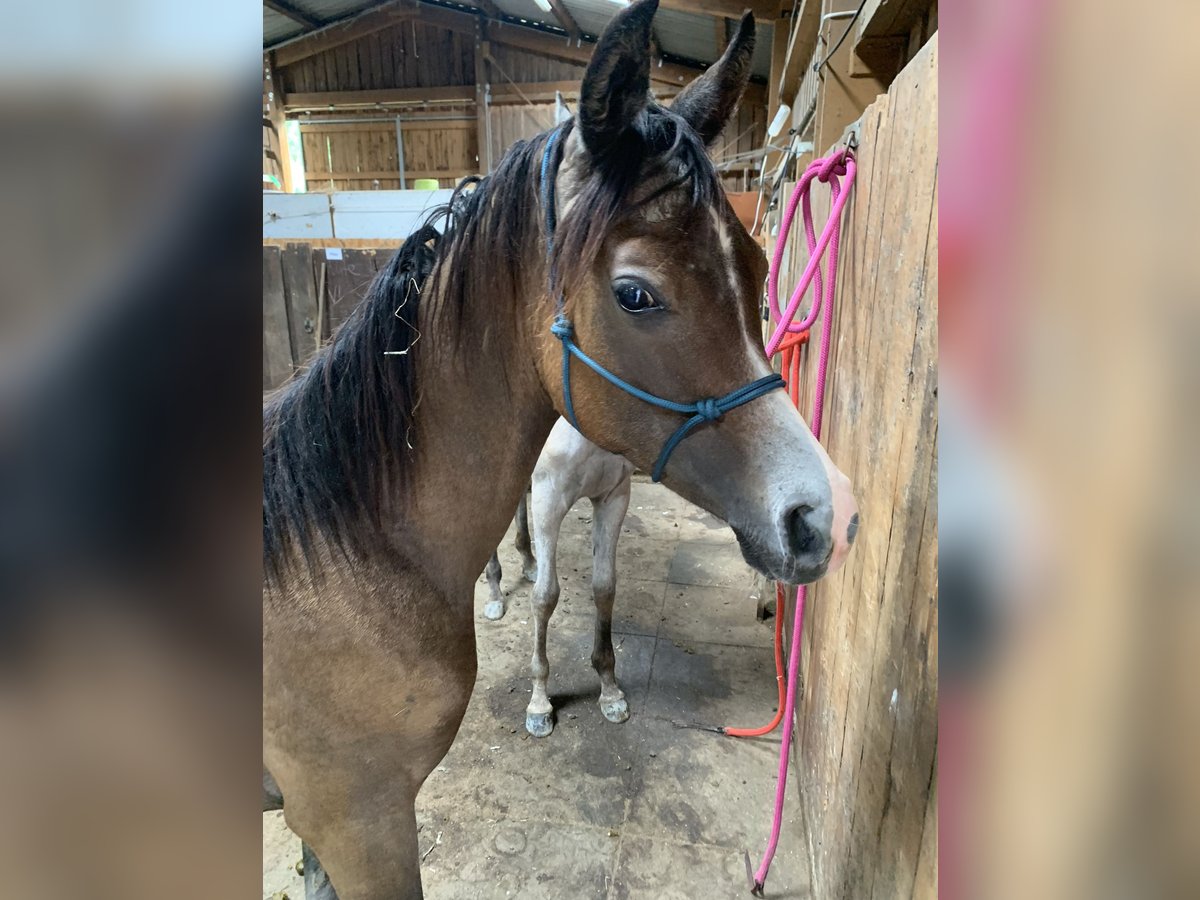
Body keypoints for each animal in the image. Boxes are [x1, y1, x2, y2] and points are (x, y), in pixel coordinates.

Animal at [267, 3, 859, 897]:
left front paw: (608, 686)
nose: (823, 515)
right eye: (636, 294)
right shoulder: (359, 821)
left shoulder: (612, 494)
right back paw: (497, 587)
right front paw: (545, 696)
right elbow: (550, 593)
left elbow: (603, 587)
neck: (350, 553)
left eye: (757, 267)